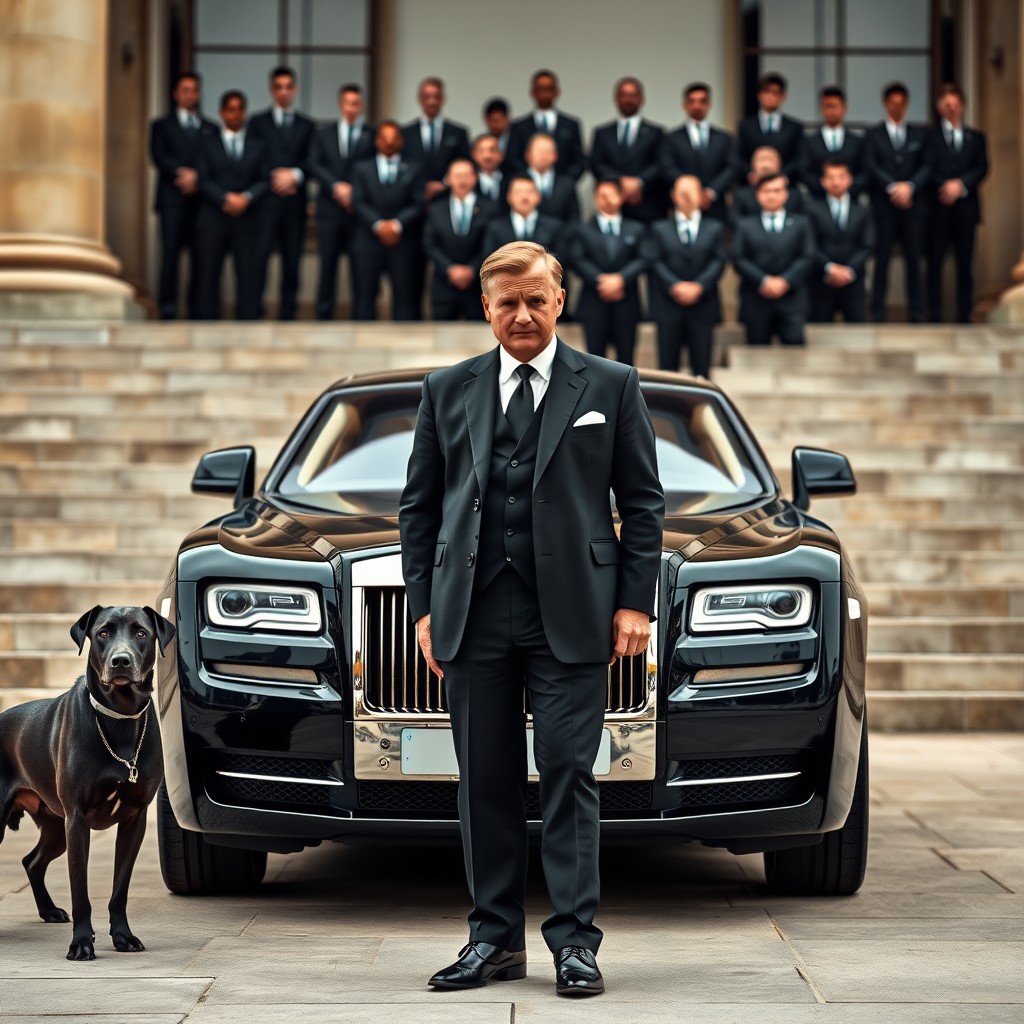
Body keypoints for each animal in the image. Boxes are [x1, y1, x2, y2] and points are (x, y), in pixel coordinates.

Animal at [0, 602, 174, 954]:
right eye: (103, 632)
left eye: (141, 632)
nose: (120, 661)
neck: (120, 718)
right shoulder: (77, 819)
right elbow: (80, 890)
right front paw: (81, 942)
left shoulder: (134, 819)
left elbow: (120, 888)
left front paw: (122, 936)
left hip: (55, 825)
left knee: (31, 861)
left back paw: (49, 910)